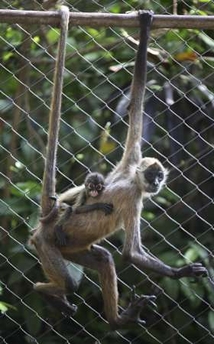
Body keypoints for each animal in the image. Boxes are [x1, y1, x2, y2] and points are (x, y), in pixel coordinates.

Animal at [30, 10, 206, 328]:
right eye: (152, 176)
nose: (156, 183)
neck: (134, 180)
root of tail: (44, 226)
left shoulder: (130, 160)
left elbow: (136, 102)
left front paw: (145, 27)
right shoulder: (133, 196)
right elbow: (130, 253)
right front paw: (181, 273)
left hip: (70, 249)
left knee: (103, 259)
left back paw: (113, 319)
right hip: (46, 245)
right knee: (73, 281)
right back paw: (52, 294)